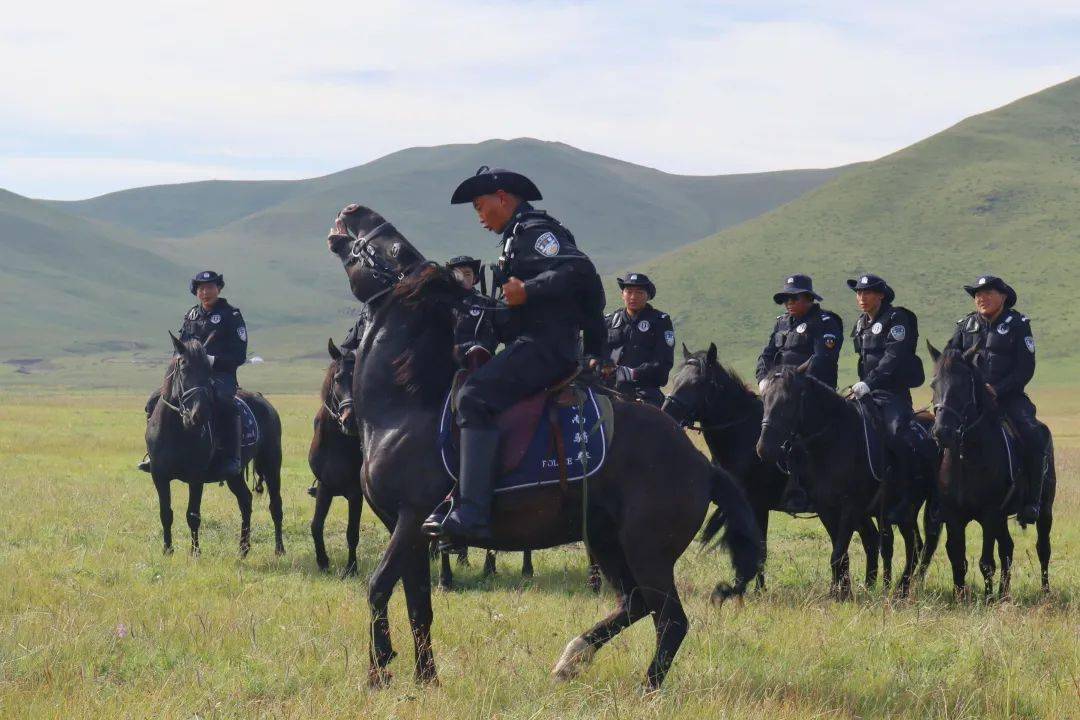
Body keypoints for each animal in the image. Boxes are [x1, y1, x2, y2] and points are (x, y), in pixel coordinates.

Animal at [145, 336, 285, 557]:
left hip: (271, 464)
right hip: (235, 475)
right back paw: (243, 549)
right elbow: (165, 513)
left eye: (208, 371)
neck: (176, 429)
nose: (199, 414)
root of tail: (264, 401)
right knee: (246, 501)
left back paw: (279, 549)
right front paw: (168, 550)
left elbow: (192, 515)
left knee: (275, 505)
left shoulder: (195, 477)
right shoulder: (159, 475)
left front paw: (195, 552)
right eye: (183, 368)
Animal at [326, 205, 760, 690]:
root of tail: (700, 463)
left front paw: (379, 670)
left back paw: (646, 687)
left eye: (395, 249)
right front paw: (425, 680)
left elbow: (378, 586)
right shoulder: (408, 531)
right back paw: (572, 658)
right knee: (636, 604)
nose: (353, 212)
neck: (404, 405)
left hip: (647, 549)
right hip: (607, 540)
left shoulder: (412, 518)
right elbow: (419, 605)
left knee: (670, 618)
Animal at [660, 345, 889, 591]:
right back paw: (868, 585)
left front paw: (756, 590)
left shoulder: (757, 504)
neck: (742, 436)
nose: (666, 414)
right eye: (676, 380)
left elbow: (760, 548)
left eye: (696, 383)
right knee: (870, 538)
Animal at [760, 367, 920, 595]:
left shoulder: (851, 506)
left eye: (787, 401)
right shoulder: (826, 508)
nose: (764, 448)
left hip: (906, 512)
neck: (832, 441)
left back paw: (900, 591)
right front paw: (839, 592)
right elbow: (840, 553)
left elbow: (837, 554)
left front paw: (841, 594)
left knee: (913, 547)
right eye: (764, 398)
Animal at [924, 343, 1058, 595]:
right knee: (1007, 548)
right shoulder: (955, 516)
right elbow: (959, 560)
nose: (942, 432)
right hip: (1003, 517)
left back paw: (1044, 591)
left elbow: (986, 562)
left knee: (1042, 549)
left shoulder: (989, 514)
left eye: (963, 385)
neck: (966, 457)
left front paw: (986, 598)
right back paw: (1003, 594)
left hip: (1044, 509)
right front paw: (960, 596)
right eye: (933, 383)